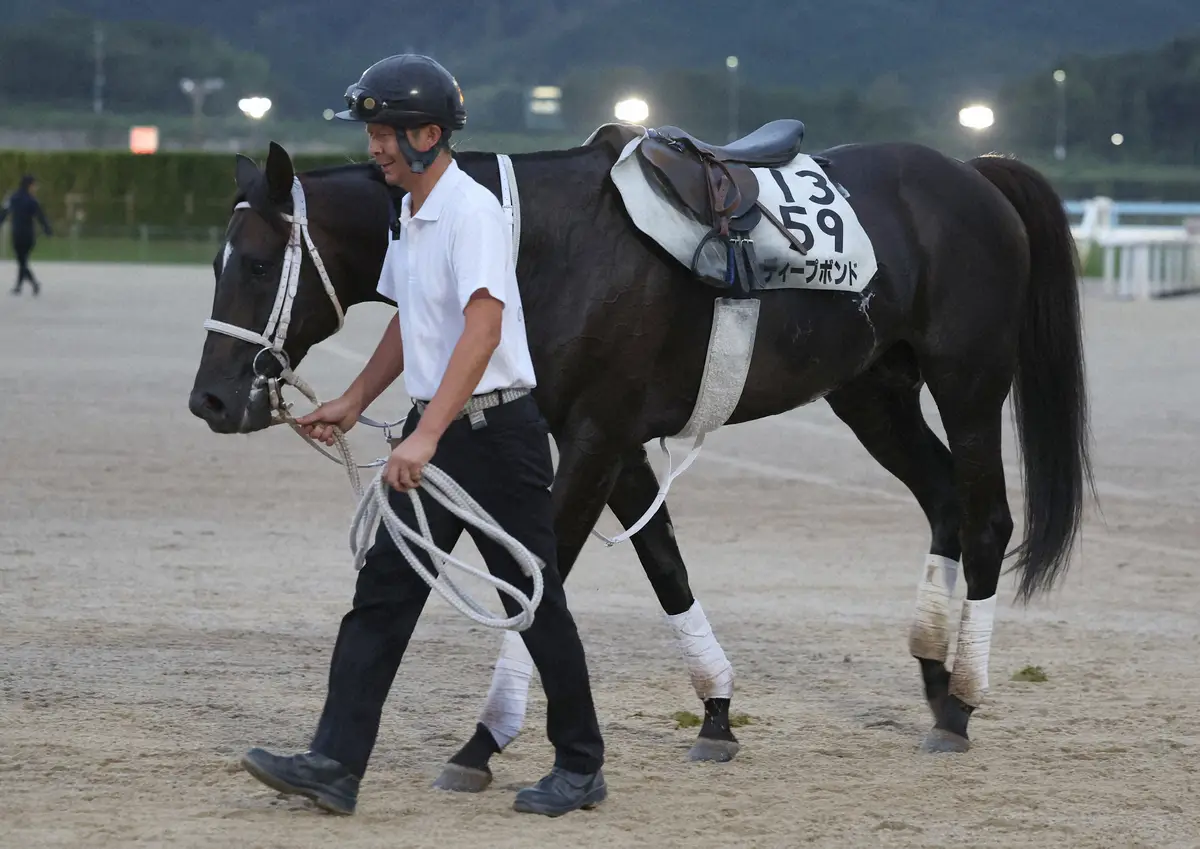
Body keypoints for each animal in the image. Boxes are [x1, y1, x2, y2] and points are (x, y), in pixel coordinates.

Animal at [184, 124, 1089, 781]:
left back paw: (963, 697)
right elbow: (665, 564)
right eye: (218, 260)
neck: (535, 239)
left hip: (968, 386)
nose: (212, 400)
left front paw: (486, 739)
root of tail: (975, 173)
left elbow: (538, 582)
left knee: (987, 519)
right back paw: (936, 679)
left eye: (257, 263)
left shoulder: (595, 436)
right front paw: (717, 712)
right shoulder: (615, 446)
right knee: (942, 500)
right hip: (873, 392)